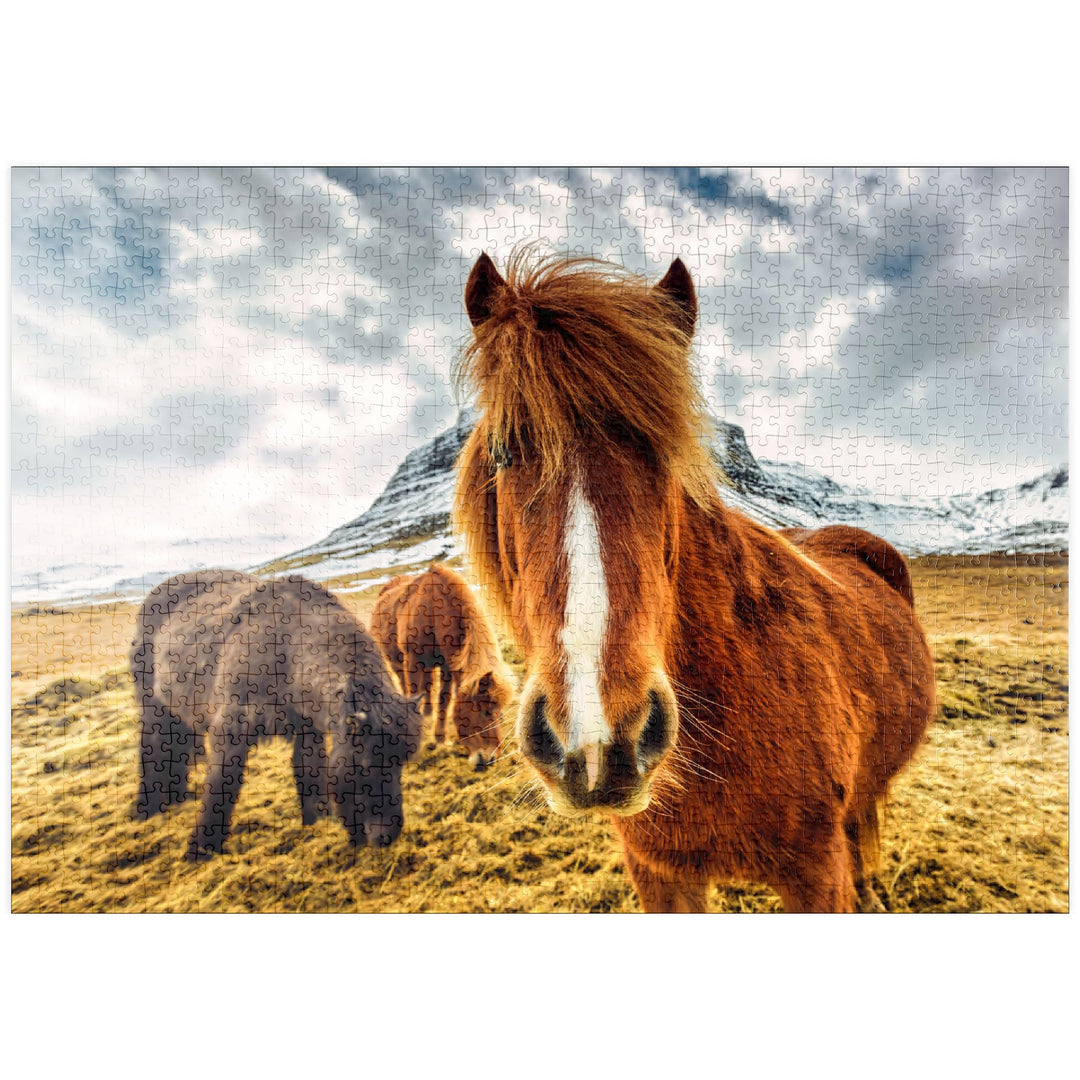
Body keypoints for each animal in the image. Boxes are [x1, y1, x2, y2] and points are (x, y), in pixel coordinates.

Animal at [131, 570, 422, 859]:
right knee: (152, 749)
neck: (285, 648)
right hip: (154, 709)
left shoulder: (309, 730)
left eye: (401, 763)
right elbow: (221, 785)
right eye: (365, 765)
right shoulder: (231, 731)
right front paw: (202, 848)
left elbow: (309, 772)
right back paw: (148, 809)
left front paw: (316, 820)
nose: (388, 835)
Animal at [370, 563, 514, 768]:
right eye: (485, 712)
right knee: (406, 686)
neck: (433, 612)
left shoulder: (447, 666)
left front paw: (440, 739)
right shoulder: (413, 661)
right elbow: (414, 692)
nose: (490, 759)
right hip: (396, 662)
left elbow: (444, 700)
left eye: (500, 714)